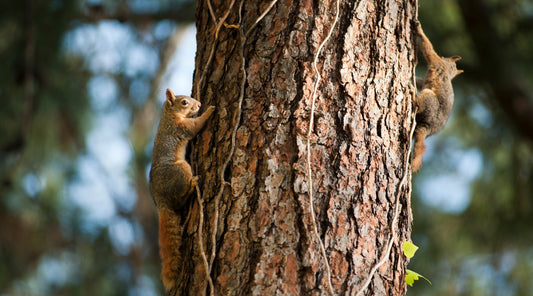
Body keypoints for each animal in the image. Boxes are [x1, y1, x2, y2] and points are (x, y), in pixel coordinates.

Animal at [148, 88, 214, 294]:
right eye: (184, 102)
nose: (199, 104)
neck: (169, 115)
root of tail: (160, 201)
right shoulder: (182, 127)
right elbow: (196, 126)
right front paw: (209, 111)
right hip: (182, 169)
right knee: (181, 198)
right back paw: (193, 185)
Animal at [412, 21, 462, 171]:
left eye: (446, 57)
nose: (446, 57)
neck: (448, 71)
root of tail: (428, 127)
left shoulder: (436, 62)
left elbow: (428, 49)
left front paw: (419, 30)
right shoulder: (428, 77)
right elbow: (420, 82)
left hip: (429, 99)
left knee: (420, 105)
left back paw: (413, 97)